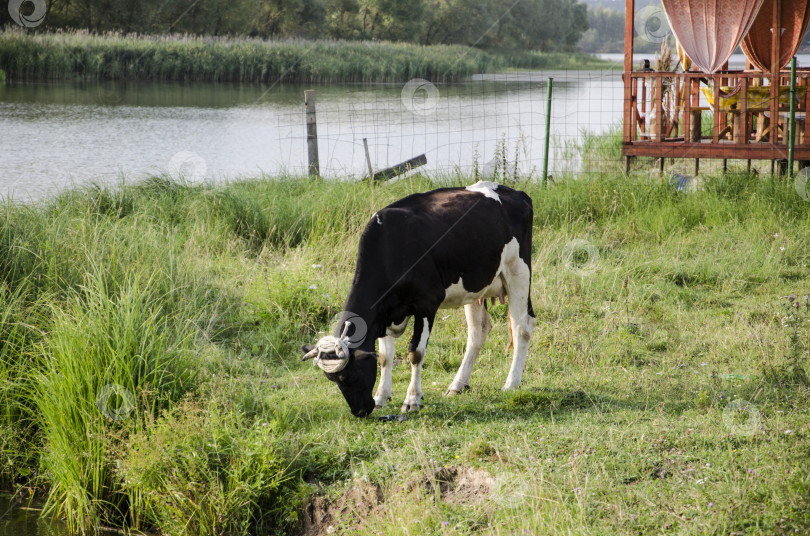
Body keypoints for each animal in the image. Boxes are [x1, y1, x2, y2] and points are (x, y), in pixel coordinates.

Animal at [300, 182, 532, 416]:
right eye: (332, 379)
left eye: (349, 376)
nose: (360, 411)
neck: (391, 246)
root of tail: (513, 191)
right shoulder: (383, 312)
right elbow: (385, 356)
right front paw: (382, 396)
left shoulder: (426, 304)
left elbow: (416, 353)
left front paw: (412, 399)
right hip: (476, 287)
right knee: (478, 332)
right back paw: (457, 385)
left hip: (519, 273)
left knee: (522, 328)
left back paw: (511, 384)